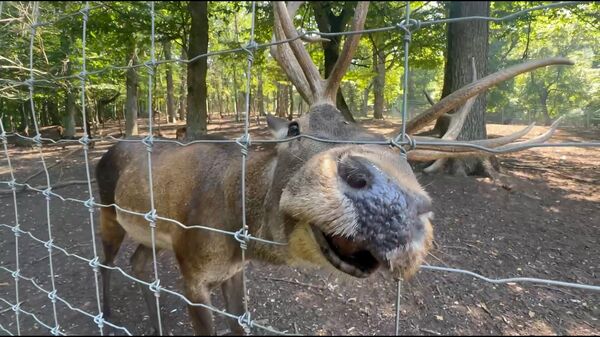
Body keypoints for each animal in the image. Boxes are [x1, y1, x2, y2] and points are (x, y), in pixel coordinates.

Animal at [96, 1, 576, 334]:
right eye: (295, 126)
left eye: (405, 159)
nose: (388, 200)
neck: (233, 231)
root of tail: (107, 148)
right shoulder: (193, 269)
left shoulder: (232, 273)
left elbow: (241, 324)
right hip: (106, 209)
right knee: (104, 262)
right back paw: (104, 315)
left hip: (149, 233)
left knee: (139, 266)